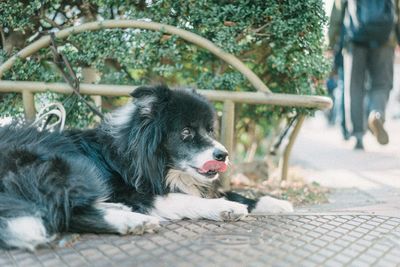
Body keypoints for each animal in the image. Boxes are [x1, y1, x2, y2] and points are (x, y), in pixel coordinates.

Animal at [0, 85, 294, 251]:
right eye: (186, 132)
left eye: (210, 129)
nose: (223, 155)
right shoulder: (133, 191)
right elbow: (182, 198)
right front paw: (225, 208)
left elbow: (231, 192)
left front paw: (274, 202)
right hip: (74, 169)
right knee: (65, 213)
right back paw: (132, 220)